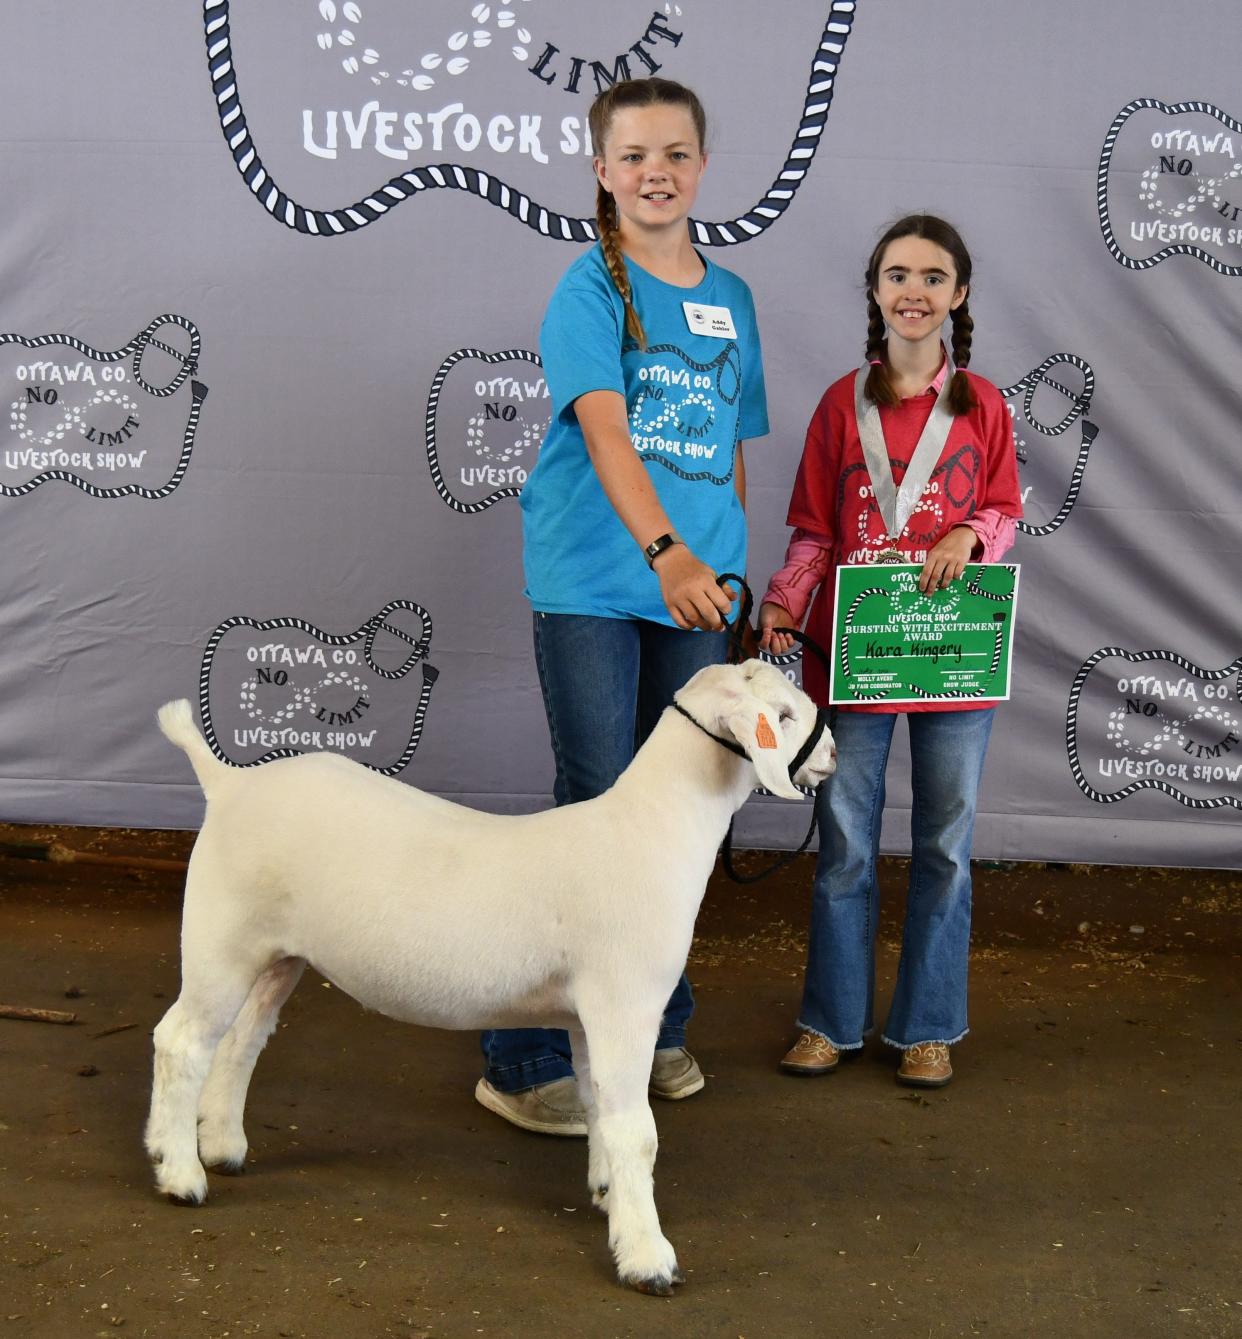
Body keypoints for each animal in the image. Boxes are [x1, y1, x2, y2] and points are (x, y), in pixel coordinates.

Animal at [150, 664, 840, 1290]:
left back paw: (221, 1148)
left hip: (276, 955)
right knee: (180, 1042)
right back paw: (180, 1173)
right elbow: (634, 1131)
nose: (832, 753)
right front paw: (648, 1259)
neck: (647, 830)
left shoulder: (589, 1016)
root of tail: (227, 784)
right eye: (782, 715)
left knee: (238, 1044)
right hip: (221, 939)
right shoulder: (626, 1002)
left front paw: (607, 1195)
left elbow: (597, 1105)